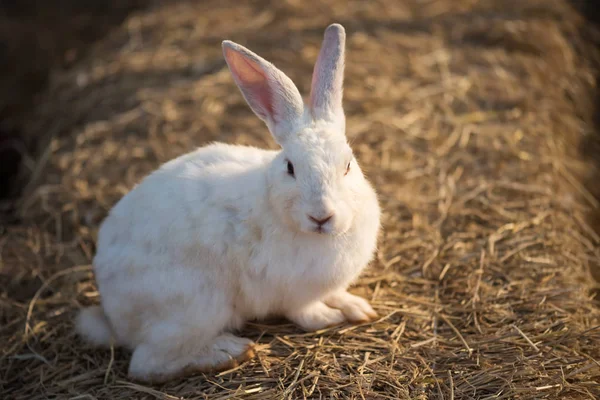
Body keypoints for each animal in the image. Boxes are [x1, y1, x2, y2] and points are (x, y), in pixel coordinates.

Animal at [76, 22, 380, 384]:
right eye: (290, 167)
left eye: (348, 165)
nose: (321, 216)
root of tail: (113, 316)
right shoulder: (292, 293)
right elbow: (305, 312)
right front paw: (327, 318)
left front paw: (358, 308)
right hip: (198, 307)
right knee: (146, 365)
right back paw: (229, 352)